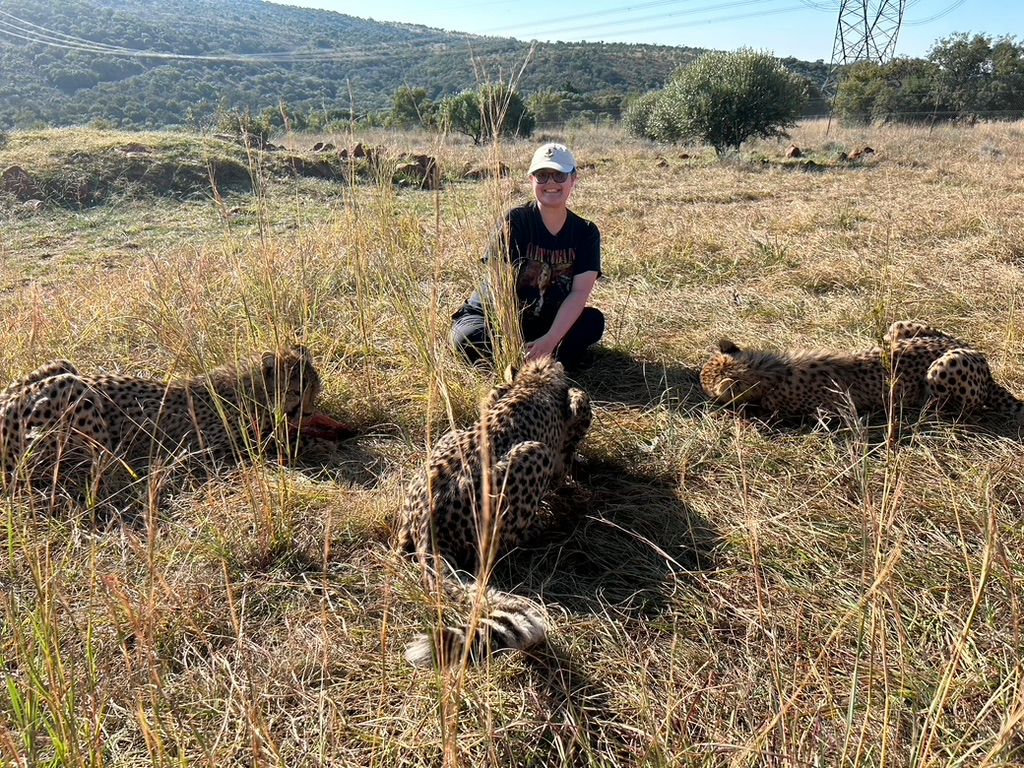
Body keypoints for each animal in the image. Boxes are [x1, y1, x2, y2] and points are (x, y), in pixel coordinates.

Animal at [397, 360, 598, 667]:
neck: (534, 382)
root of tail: (428, 532)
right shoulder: (569, 420)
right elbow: (567, 453)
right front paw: (577, 471)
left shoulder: (497, 392)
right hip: (532, 454)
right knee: (512, 536)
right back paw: (547, 524)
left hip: (449, 437)